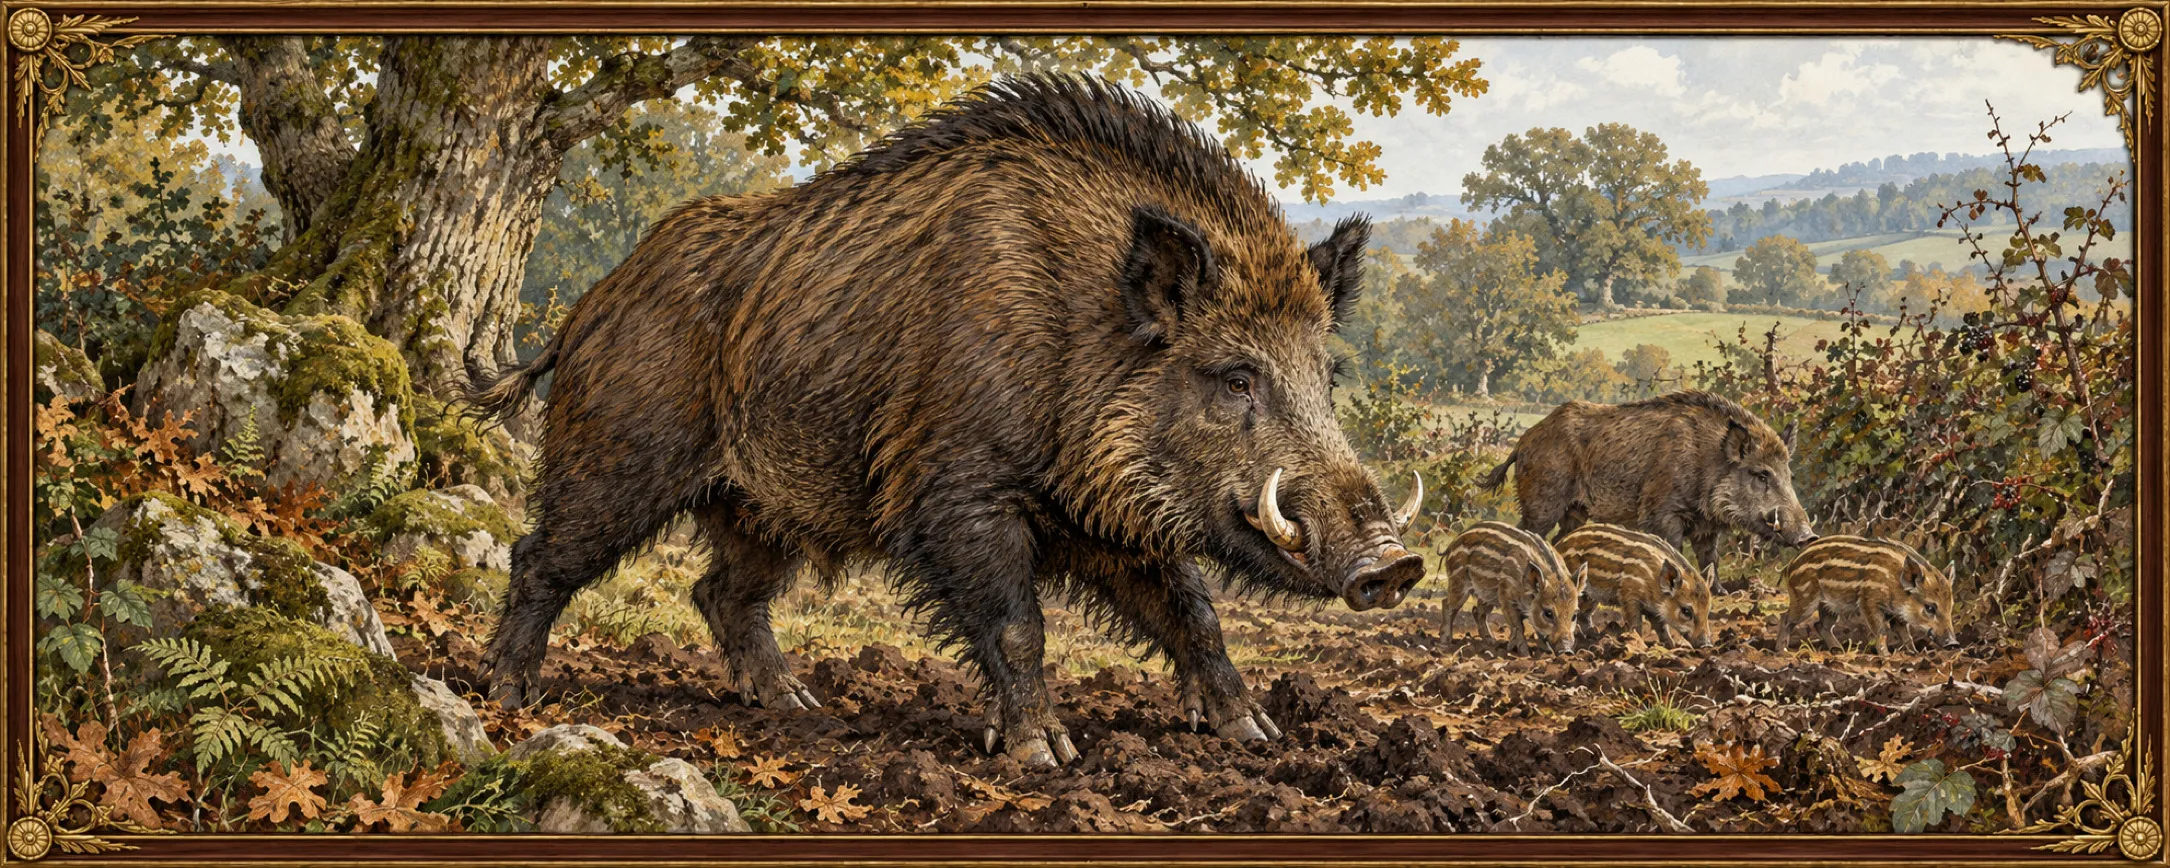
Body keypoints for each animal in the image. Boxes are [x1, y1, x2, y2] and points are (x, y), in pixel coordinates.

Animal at [462, 75, 1425, 767]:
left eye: (1327, 375)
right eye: (1235, 377)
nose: (1397, 564)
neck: (1076, 339)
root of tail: (587, 308)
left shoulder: (1110, 518)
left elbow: (1194, 612)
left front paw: (1257, 738)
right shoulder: (954, 489)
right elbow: (1017, 624)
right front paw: (1046, 757)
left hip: (759, 504)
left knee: (721, 592)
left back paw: (798, 707)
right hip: (618, 452)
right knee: (539, 555)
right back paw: (507, 697)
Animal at [1438, 521, 1584, 654]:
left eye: (1575, 615)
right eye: (1548, 613)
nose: (1567, 650)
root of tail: (1452, 543)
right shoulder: (1506, 598)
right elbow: (1518, 627)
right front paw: (1525, 654)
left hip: (1487, 594)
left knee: (1477, 611)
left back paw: (1491, 641)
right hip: (1458, 582)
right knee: (1448, 604)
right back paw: (1446, 641)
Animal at [1556, 522, 1713, 648]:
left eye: (1708, 609)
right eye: (1686, 611)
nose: (1706, 644)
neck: (1653, 580)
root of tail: (1558, 545)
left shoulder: (1653, 610)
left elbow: (1662, 627)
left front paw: (1671, 645)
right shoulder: (1629, 595)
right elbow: (1636, 624)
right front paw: (1640, 644)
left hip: (1591, 597)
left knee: (1585, 615)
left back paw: (1594, 635)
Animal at [1778, 535, 1958, 653]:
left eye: (1951, 606)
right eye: (1930, 607)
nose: (1953, 643)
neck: (1894, 582)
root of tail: (1789, 566)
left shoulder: (1896, 614)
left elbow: (1905, 633)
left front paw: (1913, 653)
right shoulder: (1868, 602)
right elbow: (1882, 631)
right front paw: (1886, 657)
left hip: (1830, 606)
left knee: (1821, 625)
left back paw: (1838, 650)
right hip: (1805, 600)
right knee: (1786, 617)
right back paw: (1782, 650)